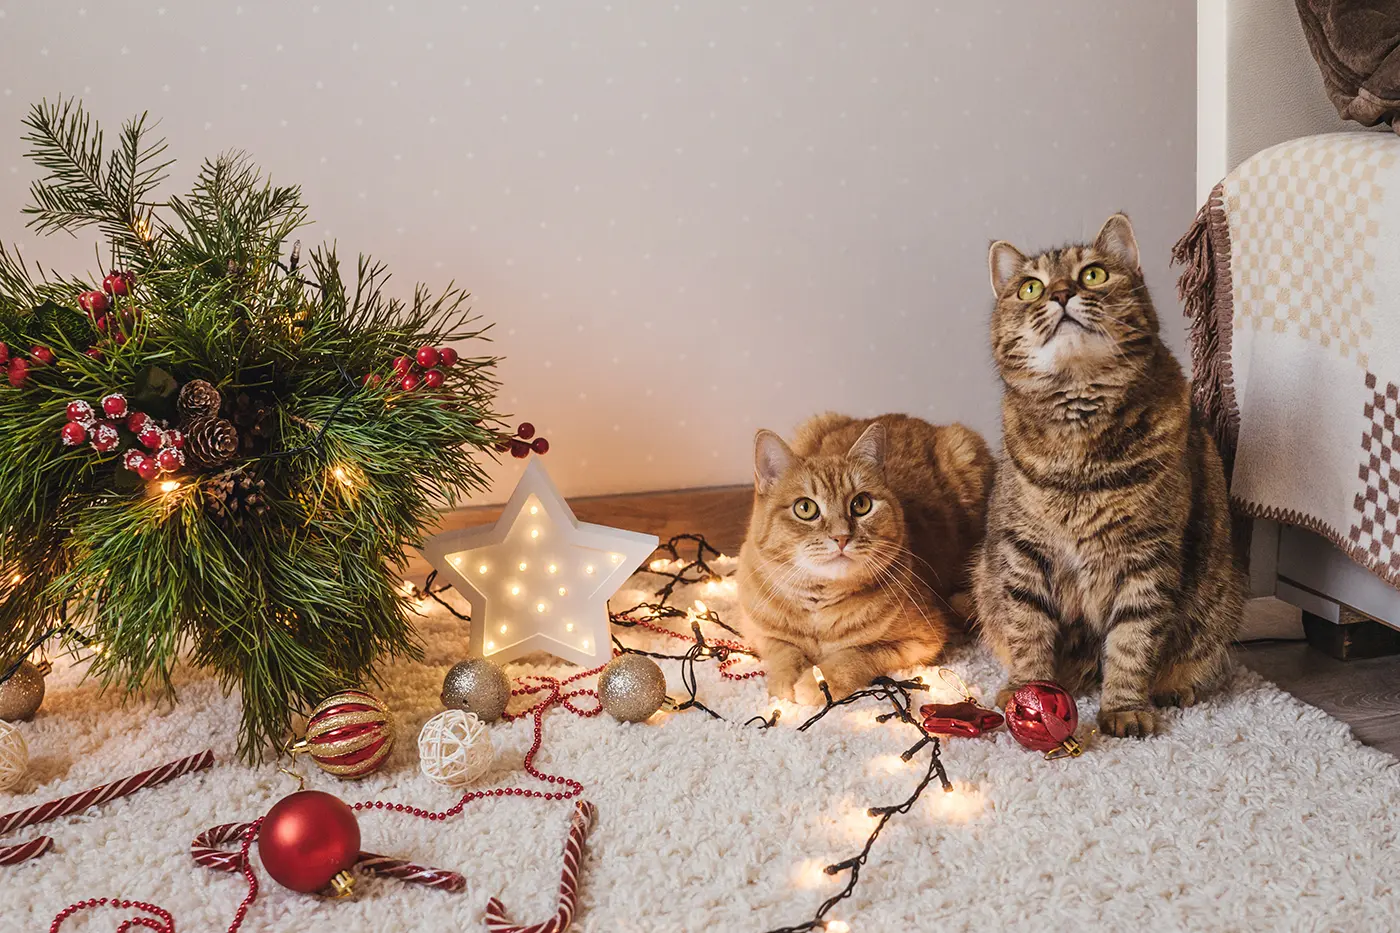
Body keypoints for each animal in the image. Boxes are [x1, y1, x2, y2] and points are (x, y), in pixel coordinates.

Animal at [739, 411, 991, 700]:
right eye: (805, 508)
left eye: (861, 504)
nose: (841, 537)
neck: (818, 610)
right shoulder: (754, 628)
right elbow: (783, 650)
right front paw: (786, 679)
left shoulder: (921, 640)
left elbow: (853, 655)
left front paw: (816, 682)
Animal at [968, 210, 1243, 734]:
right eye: (1030, 288)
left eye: (1093, 274)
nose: (1059, 293)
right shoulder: (1024, 550)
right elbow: (1027, 627)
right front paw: (1028, 691)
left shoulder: (1147, 555)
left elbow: (1133, 640)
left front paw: (1124, 708)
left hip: (1219, 598)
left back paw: (1174, 687)